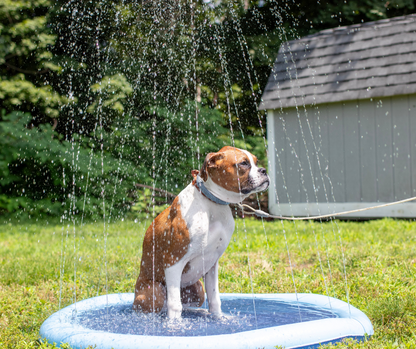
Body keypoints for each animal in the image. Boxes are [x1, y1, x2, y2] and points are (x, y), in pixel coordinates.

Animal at [133, 145, 270, 316]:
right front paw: (174, 323)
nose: (264, 170)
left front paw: (218, 318)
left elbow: (215, 300)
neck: (212, 202)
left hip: (197, 290)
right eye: (243, 163)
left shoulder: (212, 264)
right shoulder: (173, 261)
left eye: (256, 162)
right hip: (154, 292)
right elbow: (175, 305)